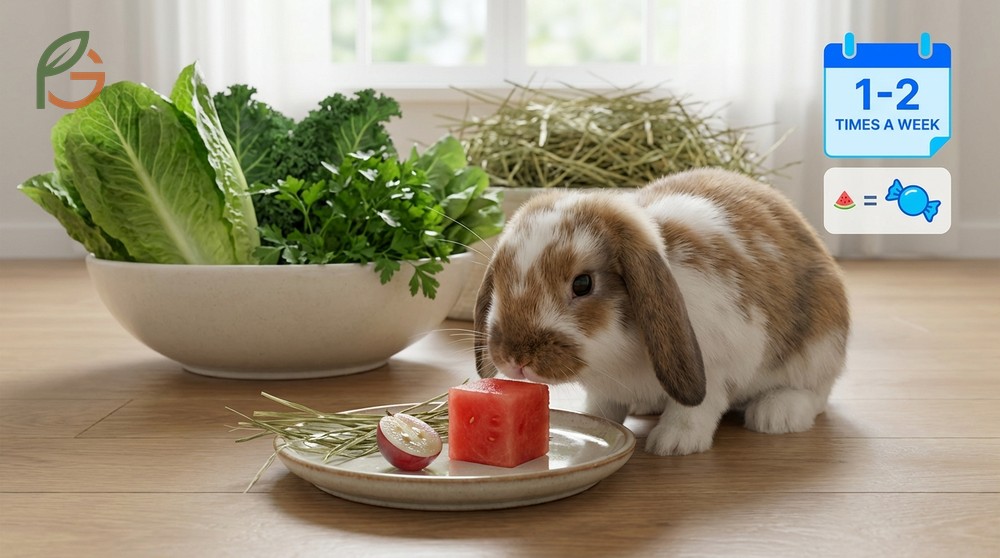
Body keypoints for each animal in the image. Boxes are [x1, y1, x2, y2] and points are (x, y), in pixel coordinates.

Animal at [473, 168, 850, 456]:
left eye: (582, 284)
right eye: (500, 278)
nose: (515, 359)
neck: (613, 358)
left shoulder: (719, 364)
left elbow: (696, 407)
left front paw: (674, 443)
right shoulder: (606, 390)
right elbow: (603, 407)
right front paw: (593, 420)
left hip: (820, 347)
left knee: (815, 394)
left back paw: (776, 415)